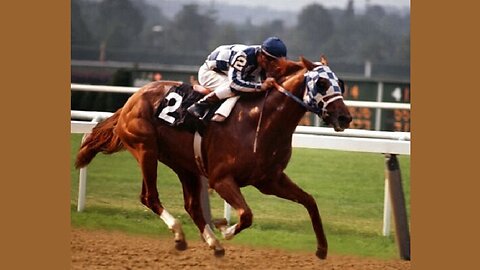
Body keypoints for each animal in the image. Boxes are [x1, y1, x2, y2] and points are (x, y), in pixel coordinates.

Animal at [76, 56, 352, 260]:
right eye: (322, 84)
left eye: (340, 82)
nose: (345, 117)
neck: (260, 121)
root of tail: (131, 100)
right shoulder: (221, 179)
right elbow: (246, 215)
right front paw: (225, 229)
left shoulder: (270, 180)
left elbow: (310, 201)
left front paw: (322, 249)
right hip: (145, 149)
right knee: (149, 196)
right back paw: (181, 235)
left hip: (183, 165)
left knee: (192, 205)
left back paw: (212, 243)